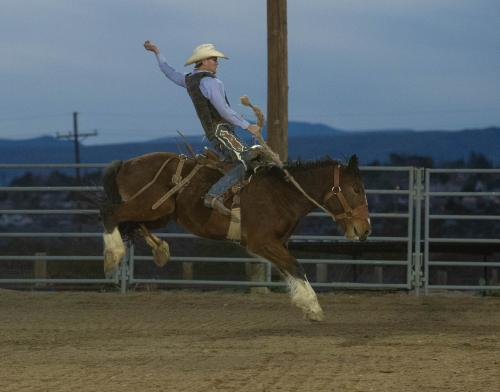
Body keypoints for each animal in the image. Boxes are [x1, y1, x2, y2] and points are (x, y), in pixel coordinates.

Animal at [98, 96, 372, 320]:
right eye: (356, 190)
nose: (365, 229)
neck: (282, 193)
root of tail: (127, 163)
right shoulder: (261, 241)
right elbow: (295, 265)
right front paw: (313, 307)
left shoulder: (276, 243)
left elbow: (288, 269)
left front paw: (305, 304)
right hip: (151, 206)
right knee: (111, 214)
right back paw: (113, 256)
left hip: (160, 214)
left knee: (131, 223)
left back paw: (159, 249)